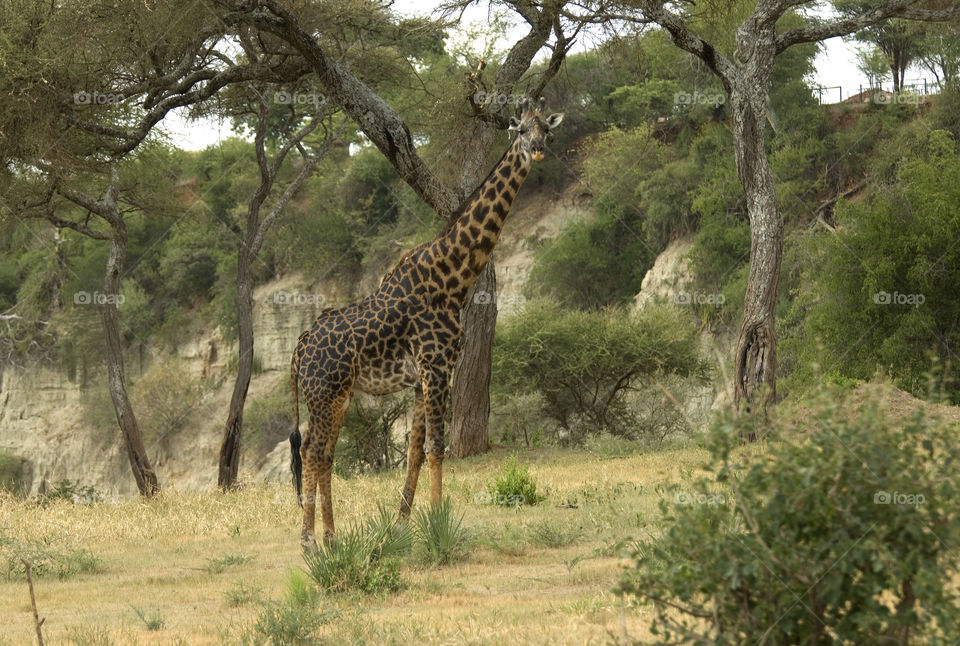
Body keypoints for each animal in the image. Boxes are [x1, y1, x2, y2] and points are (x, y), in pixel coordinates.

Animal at [288, 97, 560, 552]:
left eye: (547, 129)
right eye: (520, 130)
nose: (538, 149)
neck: (453, 277)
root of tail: (299, 346)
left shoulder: (421, 377)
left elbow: (415, 450)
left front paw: (401, 523)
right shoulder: (435, 366)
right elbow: (437, 446)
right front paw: (437, 521)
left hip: (337, 396)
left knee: (323, 452)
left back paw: (331, 536)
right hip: (323, 393)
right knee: (311, 451)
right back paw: (309, 541)